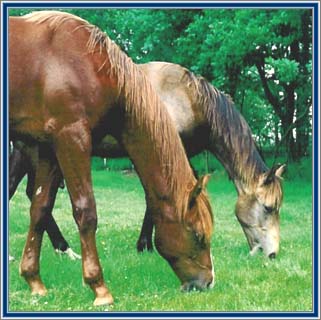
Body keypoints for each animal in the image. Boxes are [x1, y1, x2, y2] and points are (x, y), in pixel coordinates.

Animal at [8, 11, 214, 306]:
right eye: (198, 235)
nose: (207, 282)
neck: (87, 64)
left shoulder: (48, 147)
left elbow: (40, 209)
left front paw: (34, 280)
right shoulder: (72, 138)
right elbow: (86, 211)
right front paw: (99, 288)